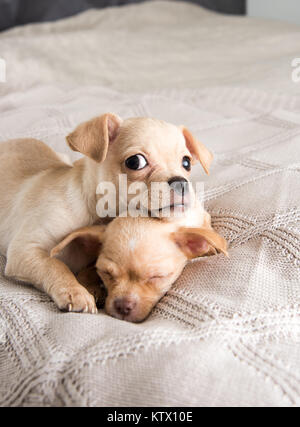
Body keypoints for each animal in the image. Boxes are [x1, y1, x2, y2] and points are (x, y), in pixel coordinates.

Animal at [0, 113, 212, 314]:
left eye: (186, 163)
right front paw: (75, 293)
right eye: (135, 162)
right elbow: (54, 265)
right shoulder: (24, 251)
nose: (181, 182)